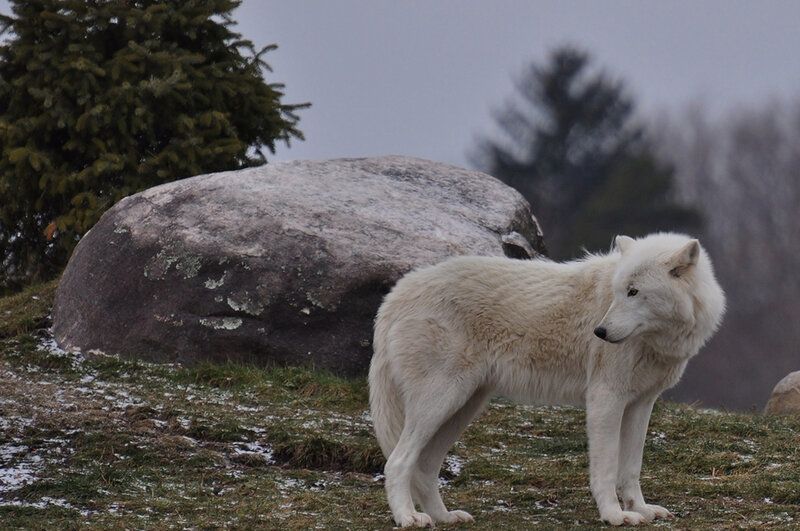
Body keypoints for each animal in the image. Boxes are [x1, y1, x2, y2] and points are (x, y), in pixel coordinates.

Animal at [369, 233, 725, 527]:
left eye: (634, 292)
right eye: (618, 293)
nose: (599, 332)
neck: (657, 341)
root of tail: (397, 293)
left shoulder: (640, 404)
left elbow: (631, 467)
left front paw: (640, 510)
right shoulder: (605, 399)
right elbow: (607, 468)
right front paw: (614, 515)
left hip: (462, 408)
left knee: (426, 467)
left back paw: (444, 517)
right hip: (440, 403)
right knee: (397, 462)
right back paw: (408, 517)